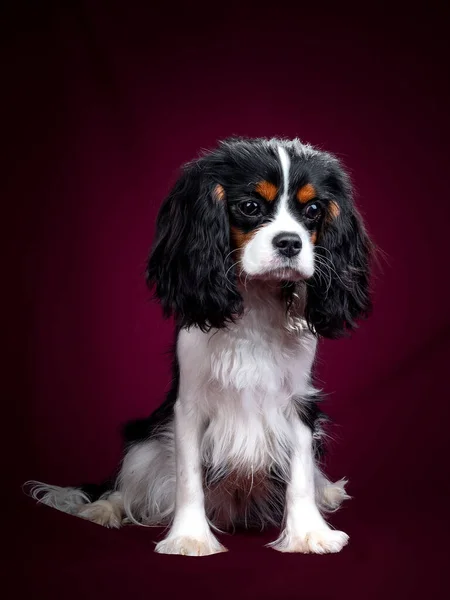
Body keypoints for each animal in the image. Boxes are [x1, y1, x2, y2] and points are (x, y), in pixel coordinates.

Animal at [27, 137, 372, 556]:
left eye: (313, 210)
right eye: (250, 206)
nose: (290, 243)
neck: (256, 303)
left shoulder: (298, 404)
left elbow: (301, 475)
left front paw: (309, 534)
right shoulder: (189, 406)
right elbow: (188, 477)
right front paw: (189, 538)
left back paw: (329, 493)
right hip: (144, 446)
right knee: (125, 487)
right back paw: (102, 510)